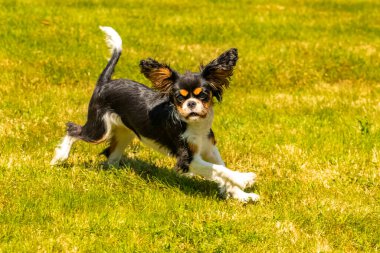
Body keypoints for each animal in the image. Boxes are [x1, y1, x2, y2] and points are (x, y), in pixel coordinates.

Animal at [52, 26, 260, 203]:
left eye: (203, 95)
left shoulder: (209, 149)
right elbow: (220, 170)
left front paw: (241, 195)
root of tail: (105, 83)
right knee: (73, 130)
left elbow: (221, 169)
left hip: (124, 133)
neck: (194, 125)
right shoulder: (187, 160)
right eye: (179, 97)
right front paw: (244, 178)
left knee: (111, 155)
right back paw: (59, 157)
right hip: (99, 130)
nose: (191, 104)